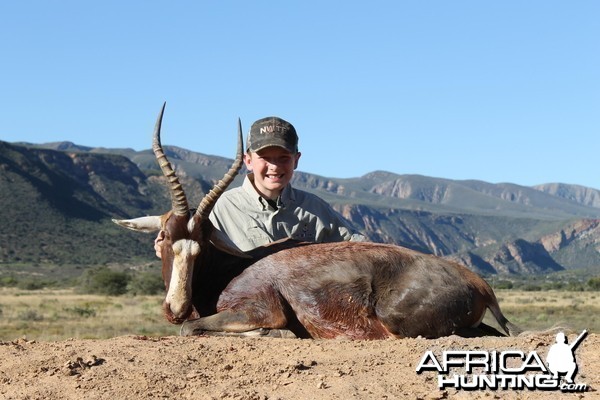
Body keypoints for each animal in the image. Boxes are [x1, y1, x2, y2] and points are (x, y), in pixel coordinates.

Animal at [113, 104, 520, 340]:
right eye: (164, 238)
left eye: (201, 247)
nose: (175, 308)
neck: (231, 267)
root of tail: (478, 282)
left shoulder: (262, 309)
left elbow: (192, 329)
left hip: (397, 323)